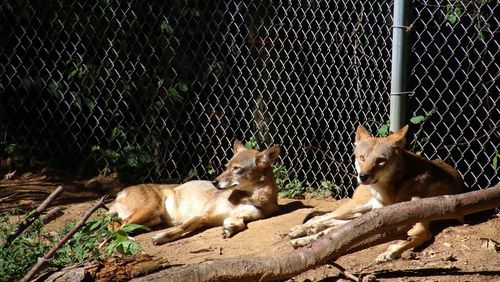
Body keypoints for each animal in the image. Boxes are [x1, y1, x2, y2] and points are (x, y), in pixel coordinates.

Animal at [110, 141, 282, 245]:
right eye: (227, 167)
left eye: (236, 169)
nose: (214, 182)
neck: (249, 199)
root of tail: (121, 192)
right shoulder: (202, 216)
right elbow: (182, 228)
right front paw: (162, 237)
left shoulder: (235, 218)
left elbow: (240, 225)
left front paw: (229, 230)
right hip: (150, 211)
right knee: (115, 226)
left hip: (153, 219)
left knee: (116, 225)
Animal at [290, 125, 464, 262]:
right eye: (362, 157)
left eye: (380, 161)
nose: (362, 176)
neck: (390, 192)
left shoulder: (417, 222)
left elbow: (418, 235)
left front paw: (391, 252)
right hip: (355, 207)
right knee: (324, 218)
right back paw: (300, 232)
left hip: (366, 213)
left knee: (334, 224)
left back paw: (309, 235)